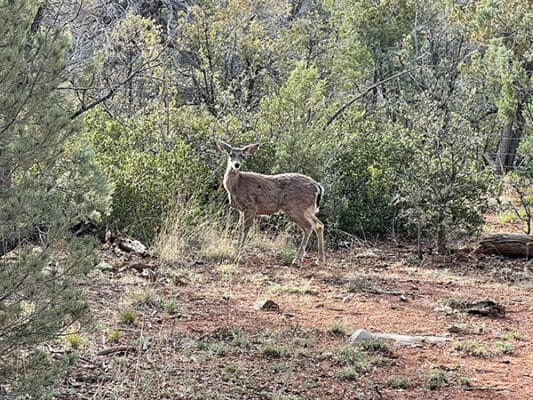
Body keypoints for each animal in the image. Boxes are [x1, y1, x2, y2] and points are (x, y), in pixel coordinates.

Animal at [216, 139, 324, 268]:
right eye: (231, 154)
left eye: (243, 156)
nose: (236, 165)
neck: (236, 186)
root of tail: (317, 186)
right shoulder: (242, 210)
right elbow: (240, 229)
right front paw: (237, 249)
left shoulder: (251, 207)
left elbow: (245, 230)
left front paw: (240, 252)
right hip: (307, 209)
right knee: (318, 225)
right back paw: (318, 259)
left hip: (295, 208)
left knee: (308, 227)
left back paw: (297, 259)